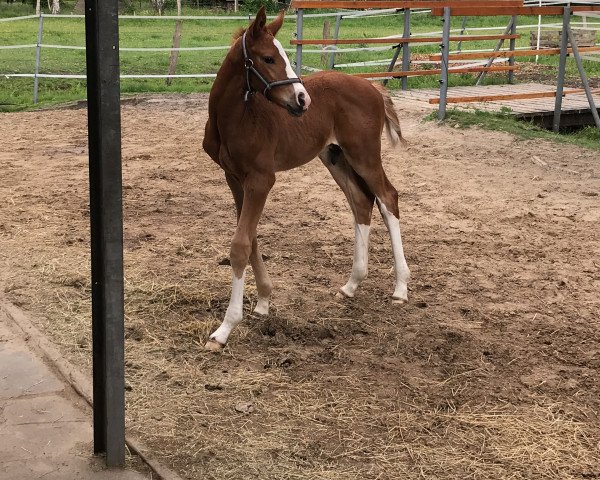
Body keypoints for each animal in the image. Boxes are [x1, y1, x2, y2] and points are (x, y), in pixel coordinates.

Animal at [204, 5, 410, 350]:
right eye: (268, 58)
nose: (303, 100)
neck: (235, 118)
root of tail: (374, 88)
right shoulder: (233, 177)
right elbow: (250, 238)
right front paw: (263, 302)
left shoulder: (261, 179)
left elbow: (240, 244)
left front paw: (225, 328)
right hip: (335, 157)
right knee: (361, 201)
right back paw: (351, 284)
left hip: (364, 155)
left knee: (387, 198)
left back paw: (400, 289)